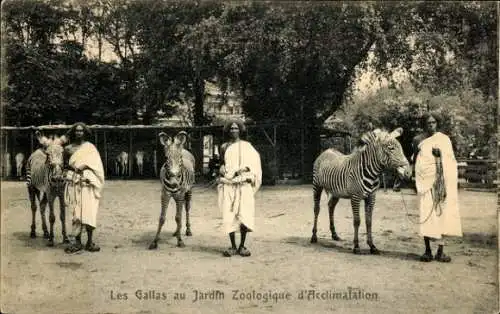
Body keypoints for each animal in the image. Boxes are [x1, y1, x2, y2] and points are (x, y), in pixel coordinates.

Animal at [310, 126, 412, 254]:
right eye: (391, 148)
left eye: (401, 148)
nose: (408, 173)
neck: (372, 173)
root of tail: (327, 150)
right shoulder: (355, 197)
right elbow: (357, 221)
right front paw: (356, 246)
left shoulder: (371, 197)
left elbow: (369, 221)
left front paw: (372, 246)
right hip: (317, 186)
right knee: (316, 209)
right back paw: (314, 237)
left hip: (335, 192)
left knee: (331, 207)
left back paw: (334, 234)